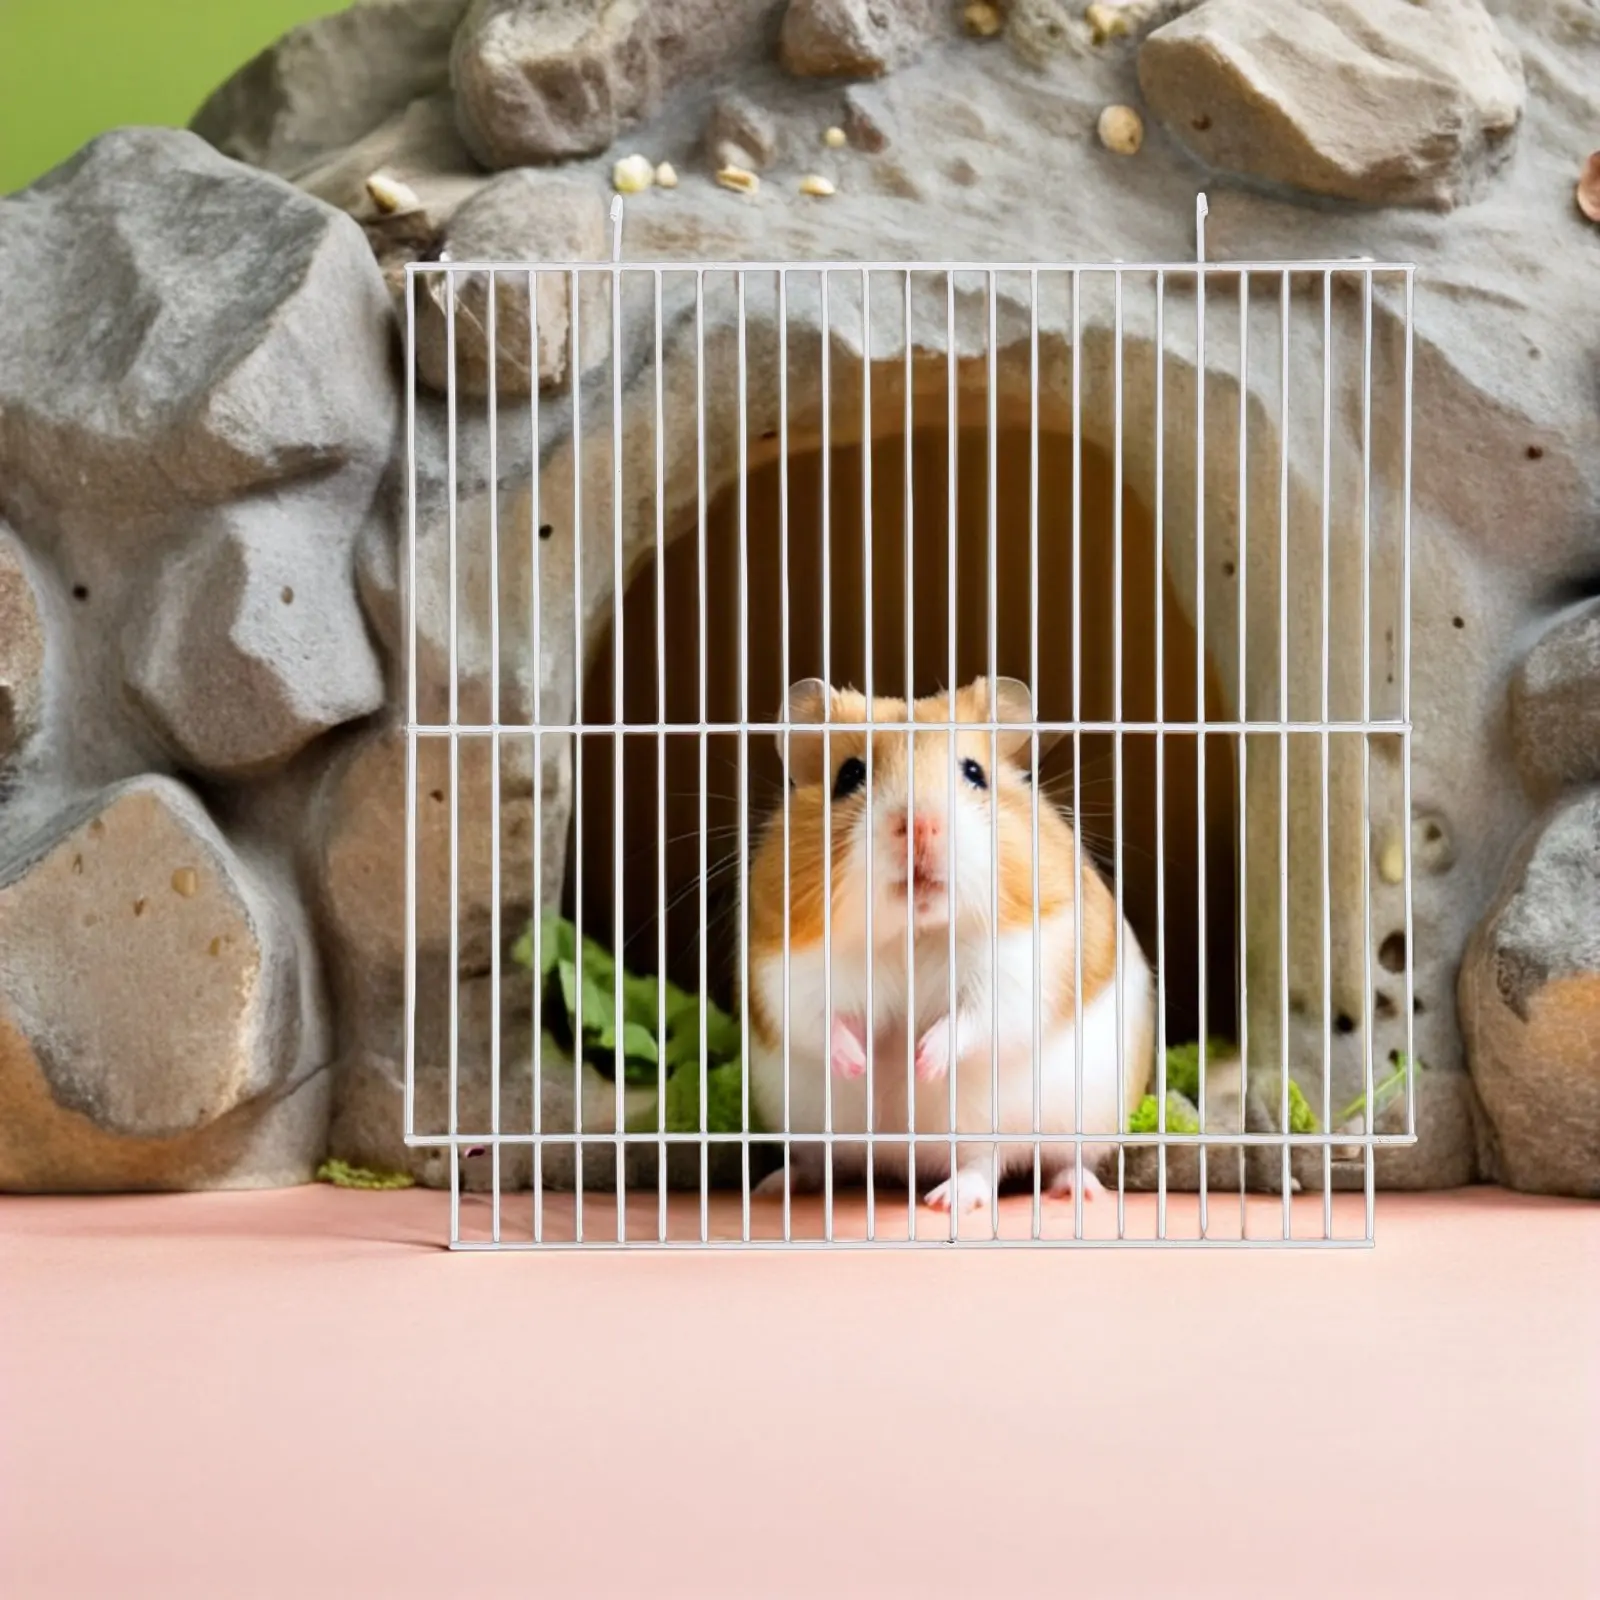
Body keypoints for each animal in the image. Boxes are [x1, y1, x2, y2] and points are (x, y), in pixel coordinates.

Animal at [744, 675, 1155, 1214]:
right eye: (849, 776)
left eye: (975, 773)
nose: (919, 824)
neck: (914, 932)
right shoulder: (790, 971)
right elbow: (820, 1022)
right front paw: (862, 1064)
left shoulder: (1021, 965)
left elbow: (975, 1020)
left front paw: (921, 1062)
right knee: (820, 1161)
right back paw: (776, 1186)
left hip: (1049, 1121)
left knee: (997, 1164)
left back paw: (997, 1197)